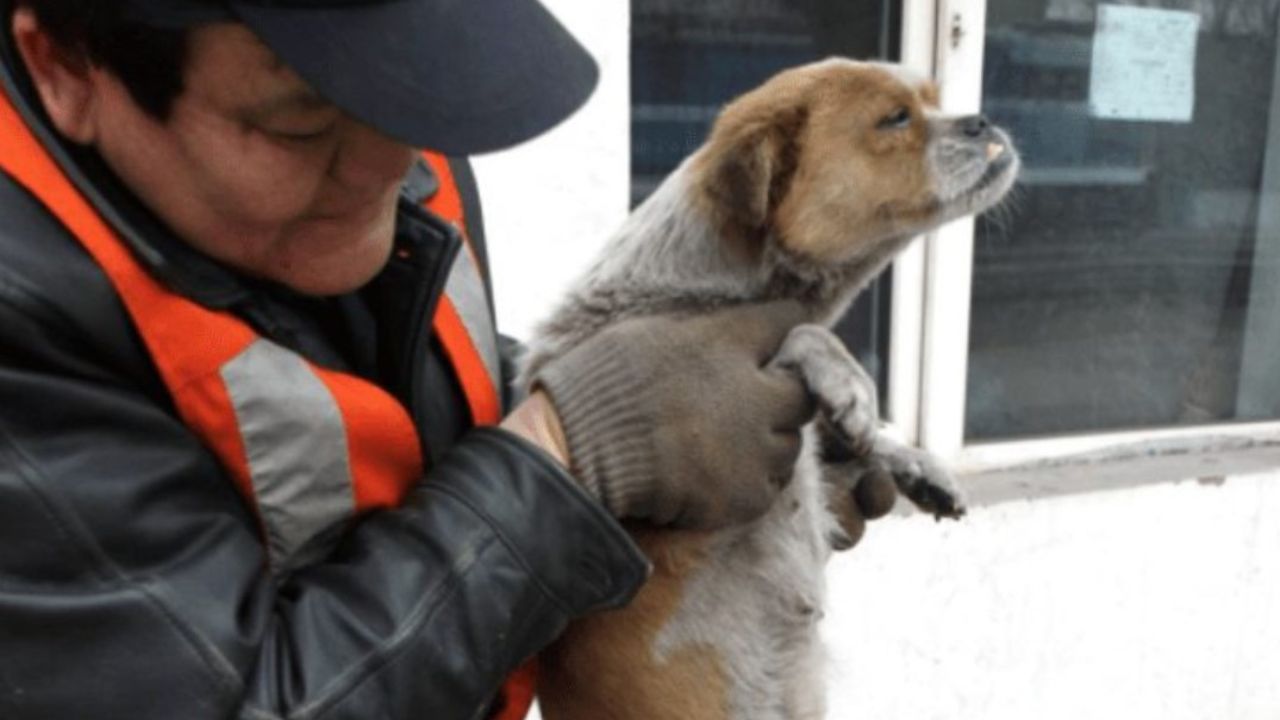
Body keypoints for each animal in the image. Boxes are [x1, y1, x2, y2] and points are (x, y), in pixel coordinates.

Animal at [519, 57, 1018, 717]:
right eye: (894, 118)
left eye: (934, 99)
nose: (982, 119)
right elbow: (804, 335)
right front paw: (850, 383)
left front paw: (917, 463)